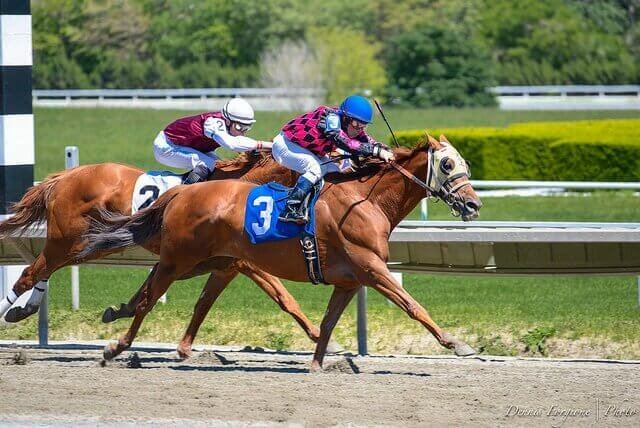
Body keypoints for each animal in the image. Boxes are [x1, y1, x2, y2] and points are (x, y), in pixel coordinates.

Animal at [0, 154, 328, 354]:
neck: (240, 191)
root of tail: (65, 177)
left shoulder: (222, 265)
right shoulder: (241, 262)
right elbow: (284, 296)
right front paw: (318, 335)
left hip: (84, 244)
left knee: (43, 270)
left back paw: (23, 310)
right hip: (69, 241)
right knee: (32, 272)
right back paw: (12, 309)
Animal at [79, 135, 480, 370]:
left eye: (466, 164)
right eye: (447, 164)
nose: (474, 204)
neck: (366, 200)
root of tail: (181, 192)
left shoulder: (350, 280)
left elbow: (328, 321)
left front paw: (319, 362)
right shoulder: (372, 267)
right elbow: (413, 305)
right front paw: (459, 344)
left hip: (205, 261)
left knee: (157, 293)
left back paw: (117, 314)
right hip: (180, 259)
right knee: (149, 299)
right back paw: (116, 348)